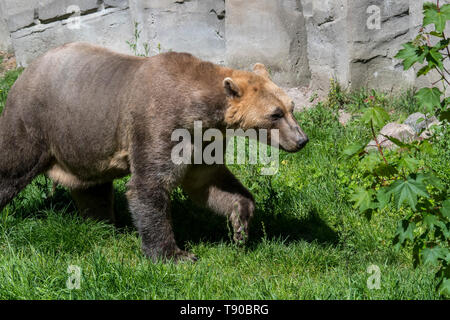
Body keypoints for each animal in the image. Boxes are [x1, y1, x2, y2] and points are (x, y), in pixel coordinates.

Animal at [0, 43, 308, 262]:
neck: (197, 108)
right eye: (275, 114)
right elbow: (149, 185)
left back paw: (103, 226)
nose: (302, 140)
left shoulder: (202, 140)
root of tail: (25, 70)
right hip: (34, 120)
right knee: (12, 166)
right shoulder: (160, 123)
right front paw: (176, 255)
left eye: (291, 107)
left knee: (93, 189)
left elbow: (208, 182)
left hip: (84, 140)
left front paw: (240, 225)